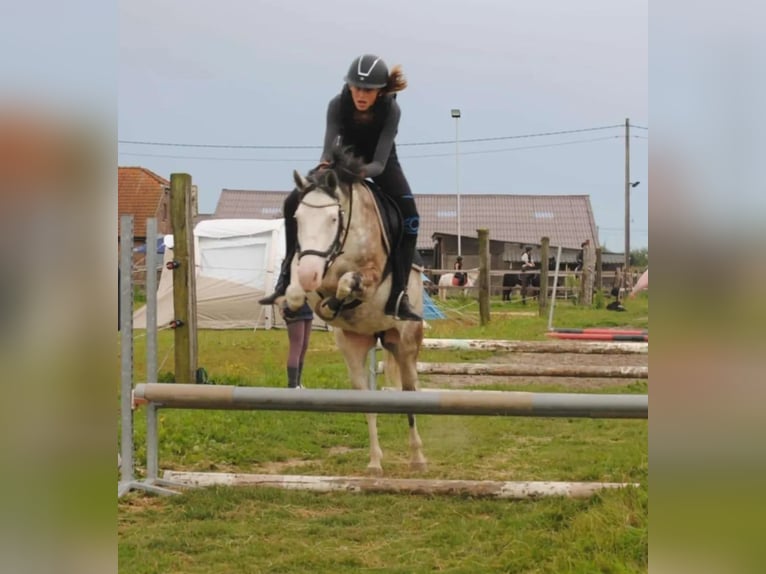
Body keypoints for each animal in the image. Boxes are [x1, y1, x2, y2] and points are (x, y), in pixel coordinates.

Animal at [284, 150, 426, 476]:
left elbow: (349, 284)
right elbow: (297, 289)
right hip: (355, 346)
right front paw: (301, 302)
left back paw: (417, 457)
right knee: (367, 400)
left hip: (406, 343)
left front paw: (337, 301)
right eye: (296, 219)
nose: (310, 274)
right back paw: (374, 462)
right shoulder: (308, 269)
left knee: (411, 393)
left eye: (333, 218)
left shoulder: (369, 278)